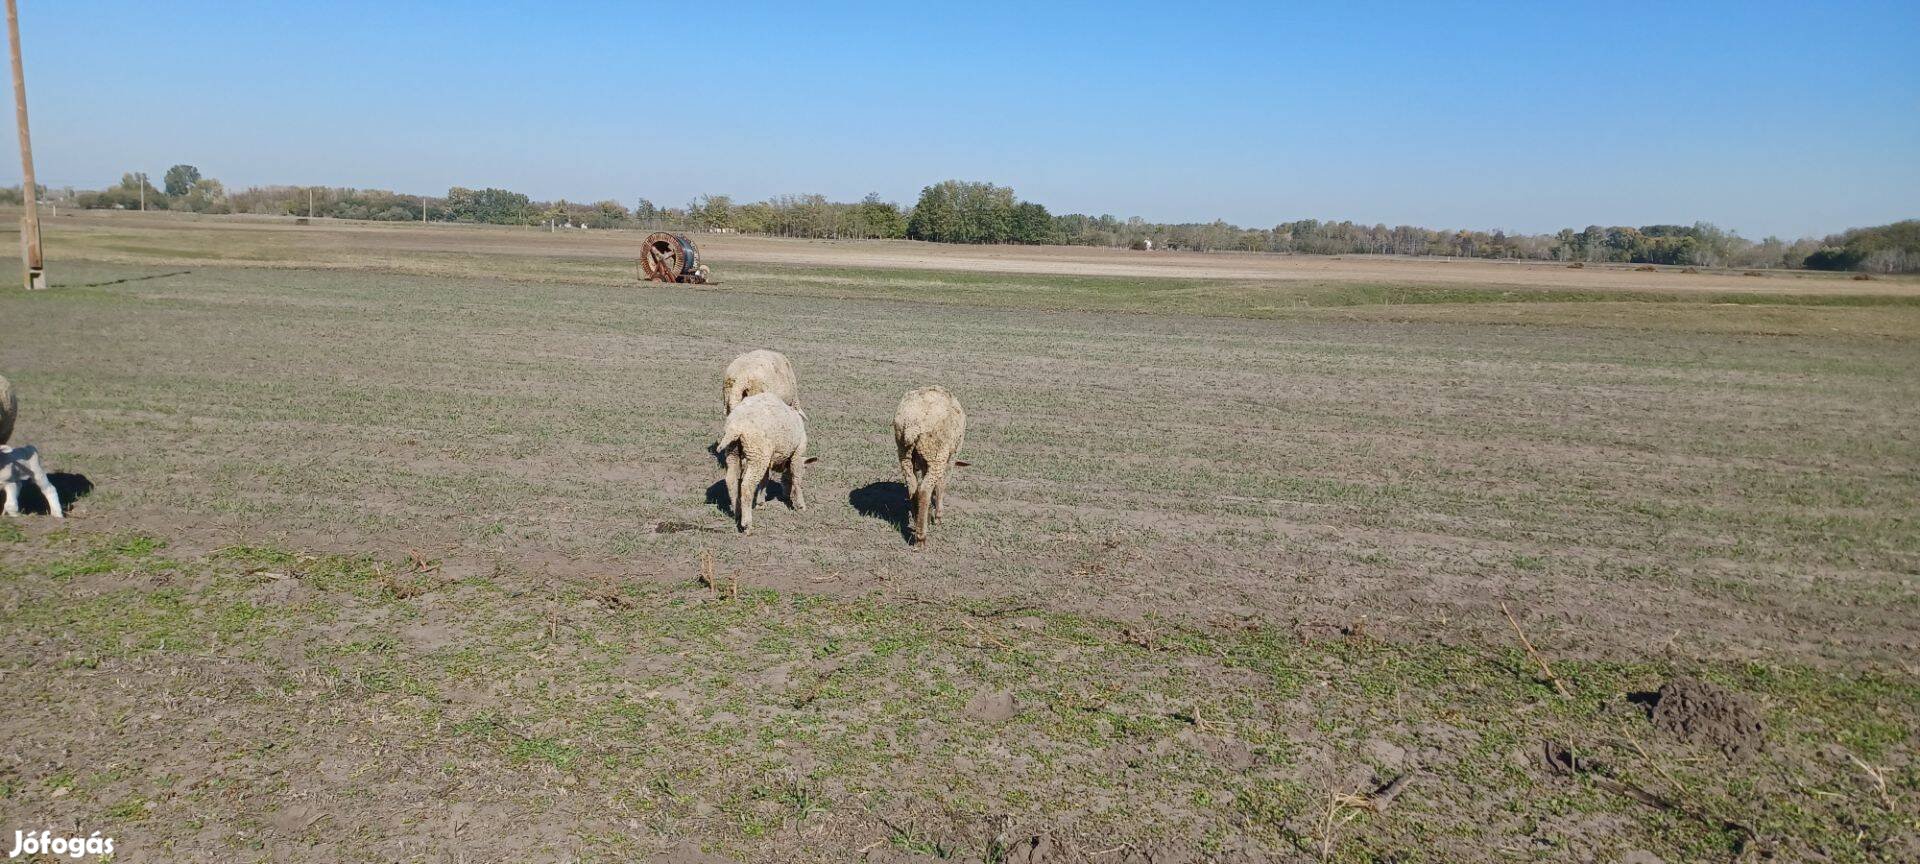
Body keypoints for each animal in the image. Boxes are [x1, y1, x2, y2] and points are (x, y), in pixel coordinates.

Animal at [718, 393, 814, 533]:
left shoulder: (769, 459)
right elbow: (797, 479)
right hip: (757, 453)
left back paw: (737, 513)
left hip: (733, 452)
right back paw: (746, 524)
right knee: (747, 486)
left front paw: (760, 502)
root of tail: (737, 425)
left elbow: (765, 479)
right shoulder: (798, 452)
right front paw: (801, 505)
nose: (786, 496)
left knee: (731, 480)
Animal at [890, 385, 967, 545]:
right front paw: (938, 516)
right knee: (925, 490)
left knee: (913, 486)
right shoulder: (950, 458)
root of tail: (912, 425)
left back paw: (916, 518)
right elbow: (941, 485)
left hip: (904, 453)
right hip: (936, 452)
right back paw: (921, 537)